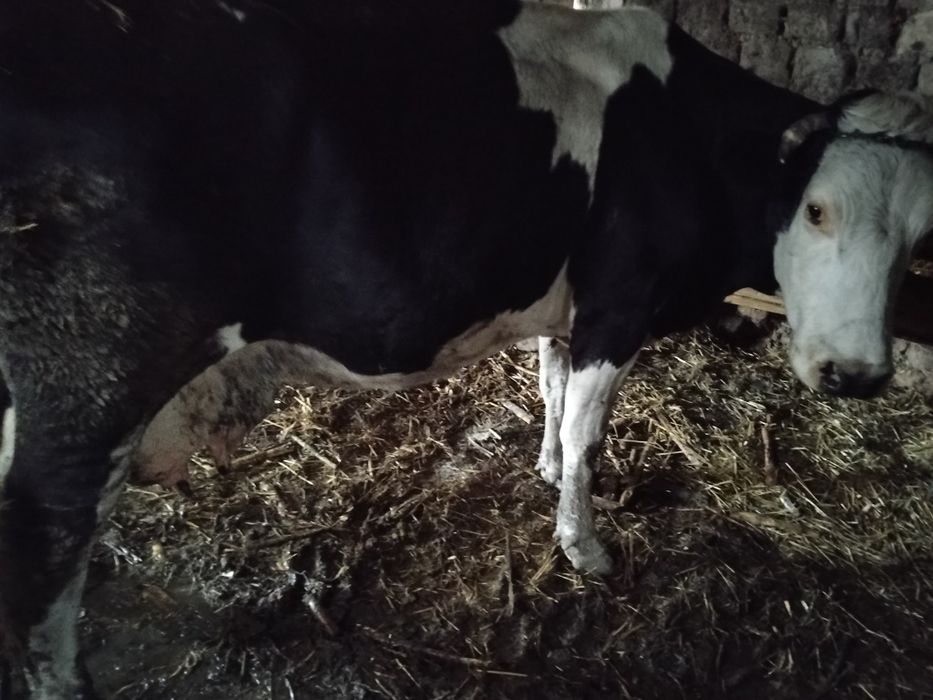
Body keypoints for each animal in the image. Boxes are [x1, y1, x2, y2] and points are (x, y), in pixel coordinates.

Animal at [1, 0, 932, 697]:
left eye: (920, 235)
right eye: (814, 208)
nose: (855, 375)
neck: (687, 135)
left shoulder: (567, 306)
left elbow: (552, 389)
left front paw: (546, 471)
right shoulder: (617, 300)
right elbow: (590, 432)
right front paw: (583, 546)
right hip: (84, 381)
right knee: (44, 554)